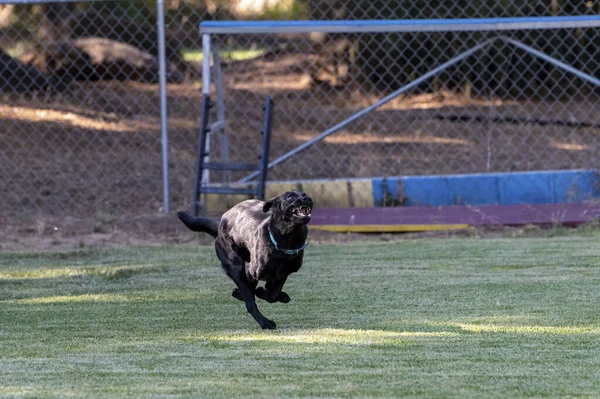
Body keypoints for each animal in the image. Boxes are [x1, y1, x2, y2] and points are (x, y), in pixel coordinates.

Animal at [177, 192, 314, 330]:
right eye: (290, 197)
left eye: (304, 194)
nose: (307, 198)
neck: (287, 238)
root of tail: (222, 222)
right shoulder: (255, 271)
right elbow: (252, 293)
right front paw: (249, 294)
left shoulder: (283, 273)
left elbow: (272, 294)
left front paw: (268, 293)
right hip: (235, 266)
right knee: (249, 300)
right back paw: (264, 322)